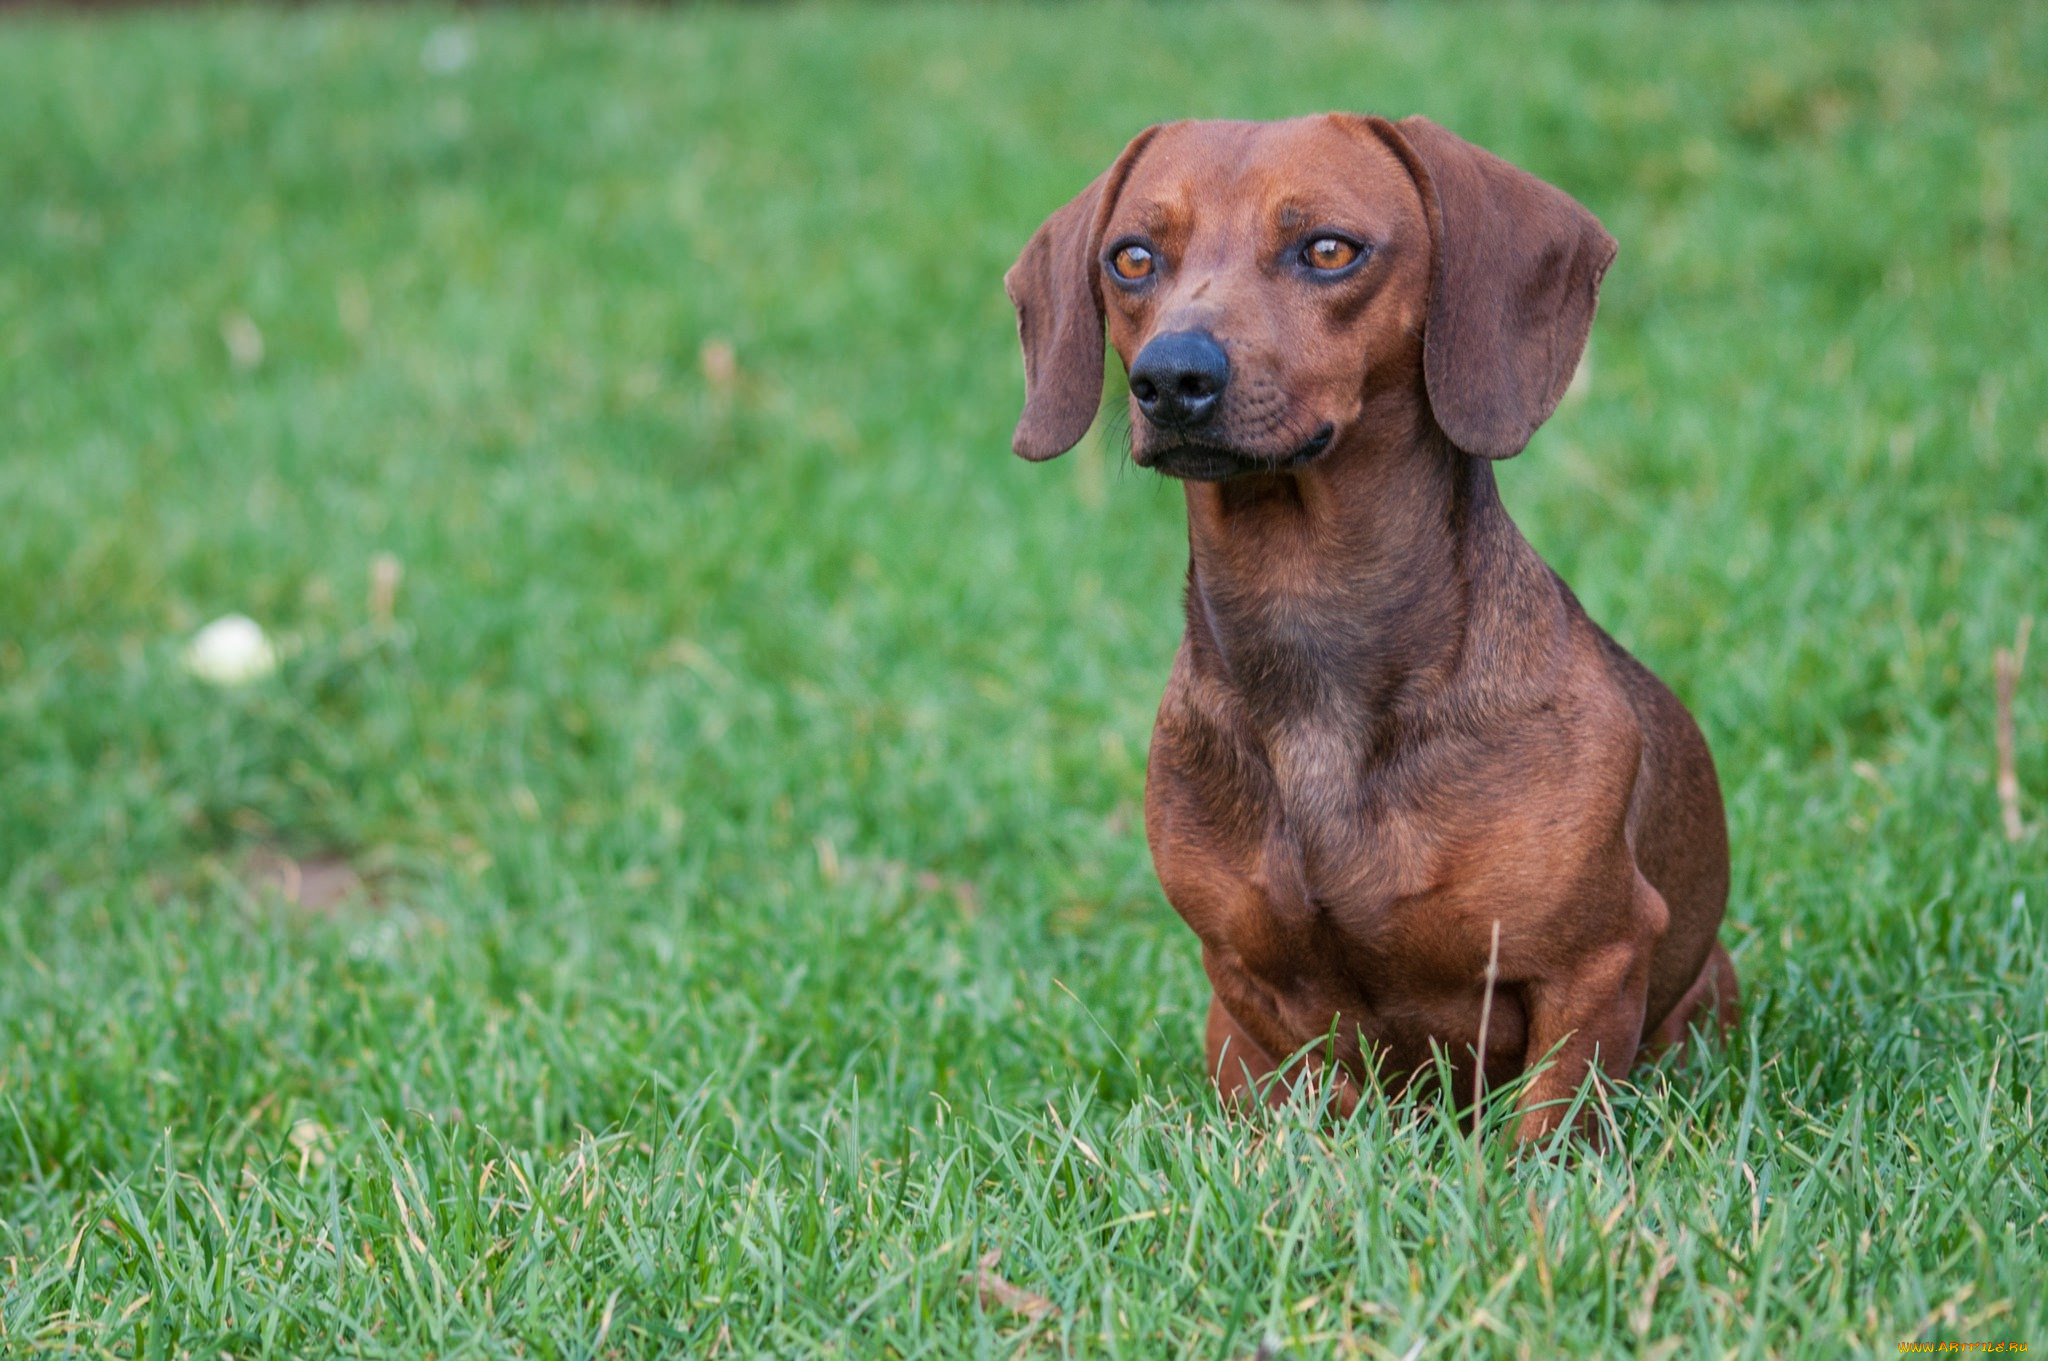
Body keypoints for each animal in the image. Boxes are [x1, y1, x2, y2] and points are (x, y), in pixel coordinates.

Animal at [999, 114, 1736, 1137]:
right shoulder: (1249, 989)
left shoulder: (1597, 961)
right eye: (1133, 257)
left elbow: (1547, 1132)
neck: (1312, 628)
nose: (1171, 376)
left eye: (1328, 249)